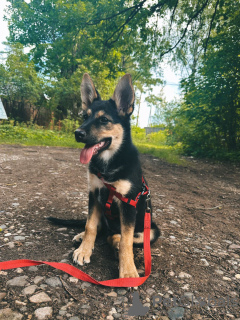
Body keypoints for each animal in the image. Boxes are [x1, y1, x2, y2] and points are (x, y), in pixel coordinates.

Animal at [47, 73, 159, 278]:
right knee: (100, 229)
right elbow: (90, 226)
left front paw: (128, 271)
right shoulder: (94, 194)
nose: (77, 133)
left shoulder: (128, 203)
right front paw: (84, 250)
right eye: (85, 116)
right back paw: (83, 237)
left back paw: (114, 242)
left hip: (152, 230)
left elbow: (126, 240)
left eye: (104, 120)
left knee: (119, 236)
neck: (108, 164)